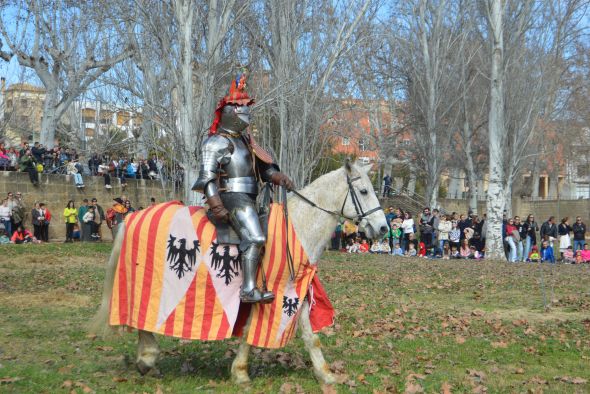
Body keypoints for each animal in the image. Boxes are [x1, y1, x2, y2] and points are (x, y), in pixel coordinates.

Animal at [92, 162, 388, 386]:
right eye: (363, 191)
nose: (383, 228)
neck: (297, 227)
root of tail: (133, 218)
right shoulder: (272, 295)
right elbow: (250, 334)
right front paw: (241, 372)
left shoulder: (295, 294)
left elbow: (310, 337)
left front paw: (326, 375)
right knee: (141, 318)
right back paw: (148, 358)